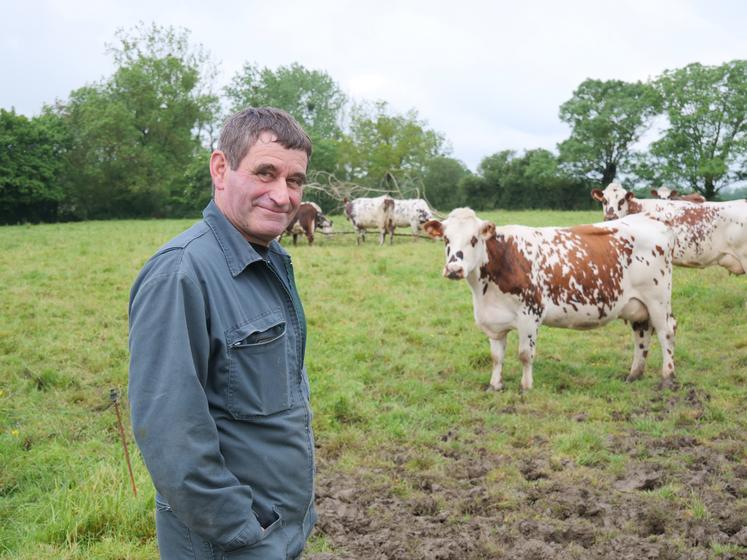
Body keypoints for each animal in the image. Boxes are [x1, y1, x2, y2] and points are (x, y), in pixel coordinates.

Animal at [426, 208, 676, 392]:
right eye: (446, 239)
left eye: (474, 239)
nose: (454, 269)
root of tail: (650, 220)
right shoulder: (493, 321)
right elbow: (496, 357)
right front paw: (494, 386)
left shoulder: (530, 314)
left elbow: (525, 355)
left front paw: (526, 387)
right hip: (638, 306)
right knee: (642, 334)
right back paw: (634, 375)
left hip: (658, 301)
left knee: (666, 332)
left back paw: (668, 377)